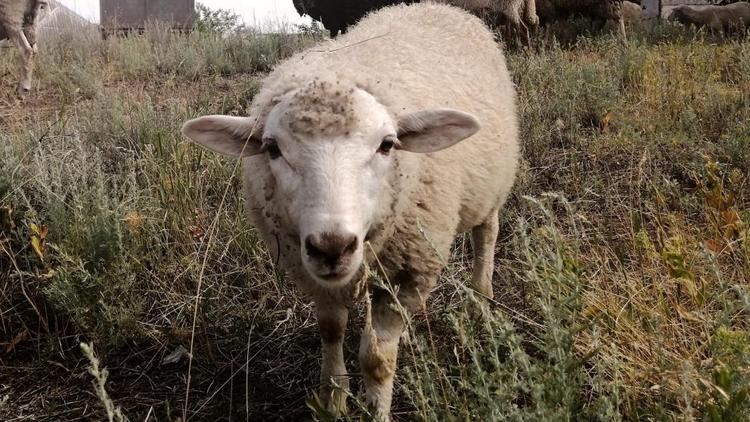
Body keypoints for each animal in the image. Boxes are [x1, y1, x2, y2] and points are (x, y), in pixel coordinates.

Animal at [183, 2, 524, 418]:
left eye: (388, 144)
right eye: (272, 148)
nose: (332, 246)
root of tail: (437, 6)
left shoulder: (409, 271)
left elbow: (377, 359)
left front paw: (376, 409)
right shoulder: (313, 272)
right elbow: (331, 329)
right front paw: (333, 398)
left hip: (493, 184)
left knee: (486, 235)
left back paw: (481, 299)